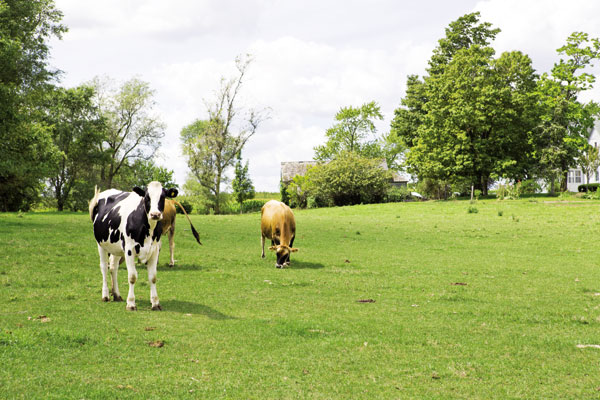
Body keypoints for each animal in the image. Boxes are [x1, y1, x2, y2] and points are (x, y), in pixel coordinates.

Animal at [88, 180, 179, 310]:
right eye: (147, 197)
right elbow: (132, 277)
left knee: (113, 267)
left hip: (116, 248)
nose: (155, 214)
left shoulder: (154, 250)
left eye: (163, 197)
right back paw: (105, 295)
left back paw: (117, 295)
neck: (147, 229)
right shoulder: (129, 250)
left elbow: (153, 277)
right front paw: (131, 303)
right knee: (104, 267)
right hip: (101, 244)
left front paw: (155, 303)